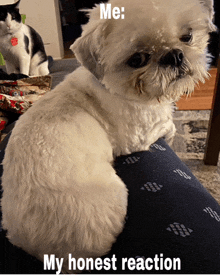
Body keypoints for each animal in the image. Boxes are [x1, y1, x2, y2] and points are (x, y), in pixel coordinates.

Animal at [0, 0, 216, 272]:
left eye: (187, 37)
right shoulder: (138, 136)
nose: (174, 55)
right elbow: (168, 125)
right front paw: (170, 130)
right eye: (137, 59)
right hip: (116, 195)